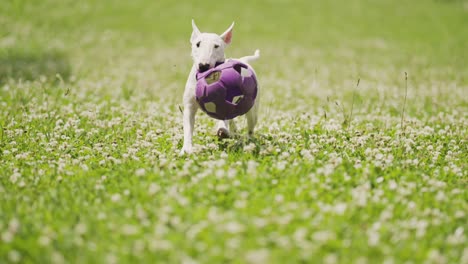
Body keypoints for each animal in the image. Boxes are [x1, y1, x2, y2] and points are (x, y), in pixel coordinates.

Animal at [179, 20, 260, 155]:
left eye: (216, 46)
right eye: (198, 44)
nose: (203, 66)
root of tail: (243, 60)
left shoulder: (224, 103)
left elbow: (223, 116)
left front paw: (222, 130)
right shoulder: (189, 106)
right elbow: (188, 126)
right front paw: (186, 149)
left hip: (252, 109)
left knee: (250, 126)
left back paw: (246, 140)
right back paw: (232, 133)